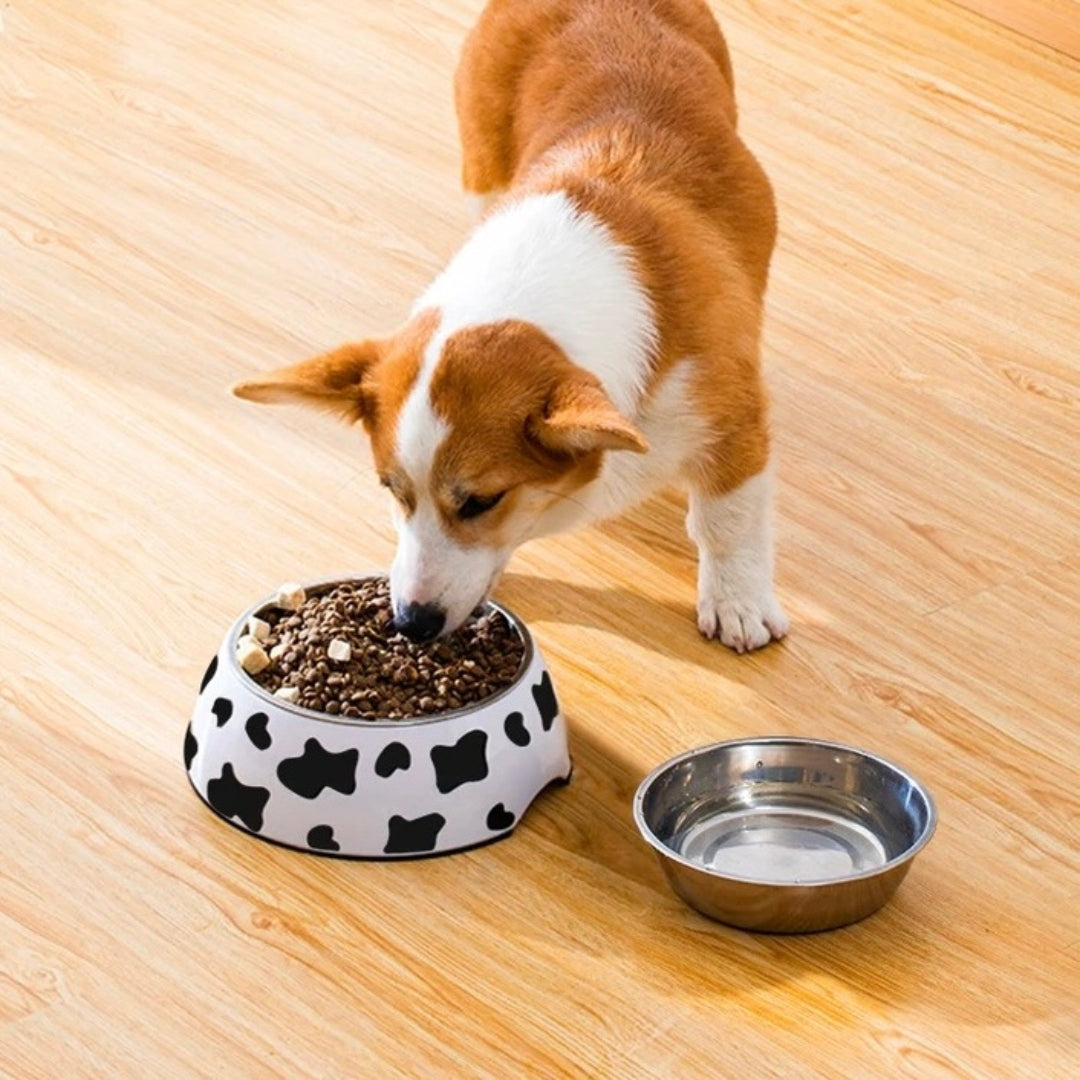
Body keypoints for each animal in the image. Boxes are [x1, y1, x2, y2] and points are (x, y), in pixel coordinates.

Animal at [234, 0, 786, 652]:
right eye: (392, 491)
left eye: (482, 501)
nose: (411, 623)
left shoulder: (733, 420)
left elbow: (728, 518)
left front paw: (737, 604)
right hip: (482, 164)